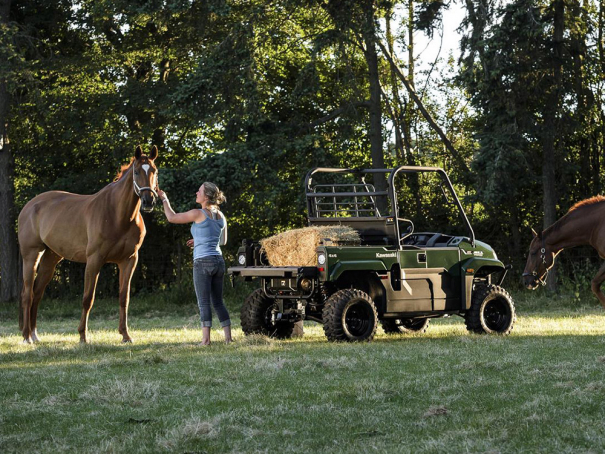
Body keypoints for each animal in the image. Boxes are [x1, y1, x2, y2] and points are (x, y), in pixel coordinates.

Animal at [18, 144, 159, 342]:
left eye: (154, 171)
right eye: (137, 171)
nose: (148, 201)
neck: (117, 215)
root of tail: (29, 206)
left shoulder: (129, 260)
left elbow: (124, 298)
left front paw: (125, 335)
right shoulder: (94, 260)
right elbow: (88, 298)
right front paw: (83, 336)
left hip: (51, 259)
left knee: (37, 293)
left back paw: (34, 334)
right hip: (31, 256)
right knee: (27, 294)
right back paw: (26, 337)